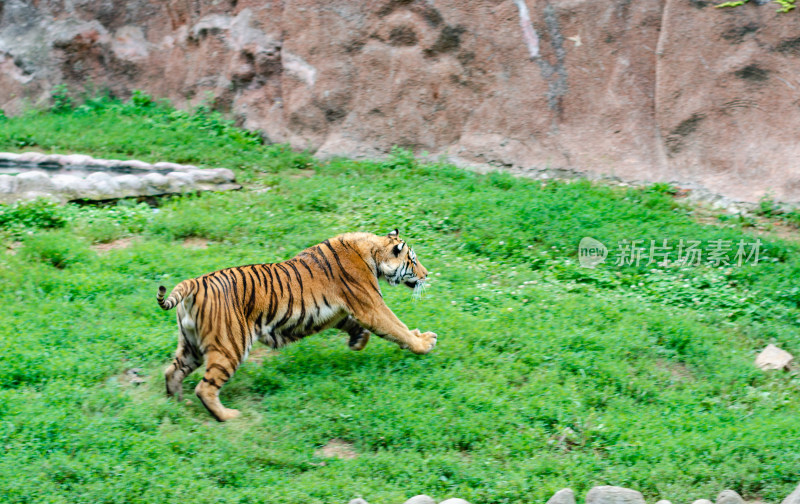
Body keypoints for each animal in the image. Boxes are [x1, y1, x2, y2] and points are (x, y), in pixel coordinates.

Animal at [156, 228, 438, 422]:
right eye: (413, 261)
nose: (426, 275)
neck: (372, 250)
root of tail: (194, 282)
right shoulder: (371, 306)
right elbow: (397, 327)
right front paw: (424, 343)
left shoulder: (337, 312)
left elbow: (357, 326)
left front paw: (358, 341)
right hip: (230, 345)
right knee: (205, 387)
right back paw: (228, 416)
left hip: (191, 344)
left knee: (172, 371)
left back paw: (175, 404)